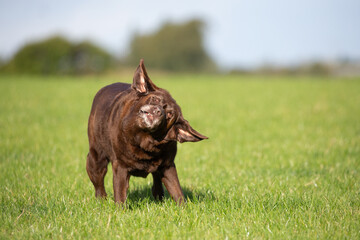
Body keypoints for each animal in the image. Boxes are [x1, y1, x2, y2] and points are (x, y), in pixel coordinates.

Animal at [85, 59, 207, 203]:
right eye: (155, 99)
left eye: (169, 114)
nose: (158, 111)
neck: (143, 138)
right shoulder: (120, 167)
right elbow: (120, 195)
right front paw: (120, 208)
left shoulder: (168, 166)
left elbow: (177, 191)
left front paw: (183, 206)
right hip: (96, 158)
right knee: (98, 183)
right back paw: (101, 200)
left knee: (157, 180)